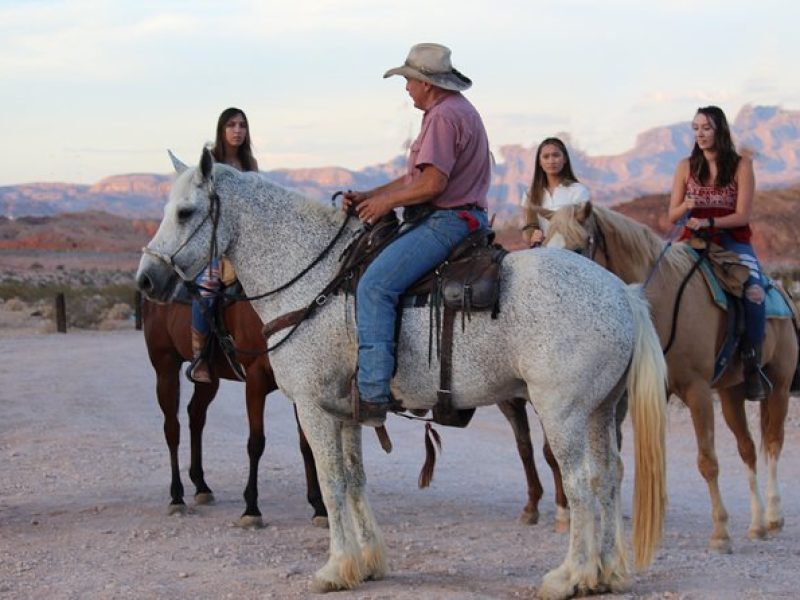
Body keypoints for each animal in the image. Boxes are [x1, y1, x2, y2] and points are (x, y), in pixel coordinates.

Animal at [141, 296, 324, 524]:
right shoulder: (255, 378)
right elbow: (256, 443)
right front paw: (251, 509)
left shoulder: (299, 385)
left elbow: (307, 445)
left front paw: (319, 508)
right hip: (166, 366)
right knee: (172, 429)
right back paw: (176, 497)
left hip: (208, 378)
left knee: (196, 415)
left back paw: (201, 485)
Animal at [540, 202, 796, 552]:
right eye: (544, 246)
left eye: (579, 249)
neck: (660, 303)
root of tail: (782, 292)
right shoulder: (650, 394)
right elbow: (648, 461)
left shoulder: (697, 390)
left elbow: (707, 461)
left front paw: (720, 532)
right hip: (731, 393)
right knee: (748, 448)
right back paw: (757, 523)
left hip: (780, 386)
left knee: (773, 443)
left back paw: (773, 515)